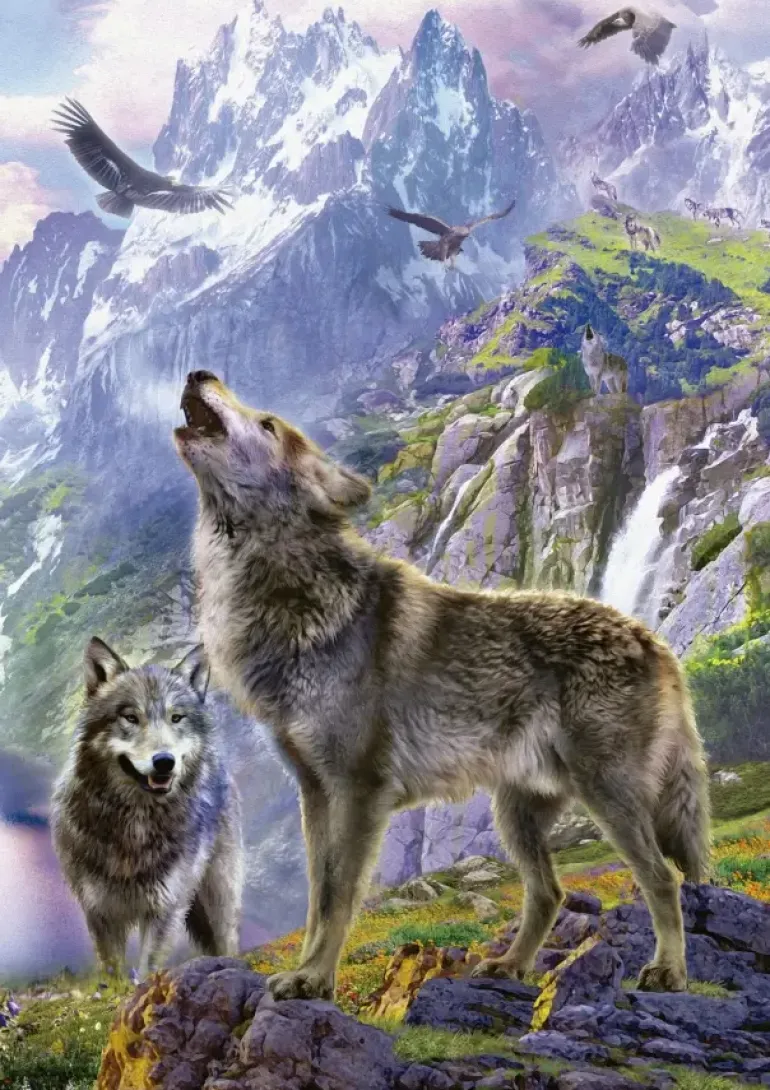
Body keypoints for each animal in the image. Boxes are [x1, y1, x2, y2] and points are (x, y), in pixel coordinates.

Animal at [51, 638, 243, 978]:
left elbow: (146, 970)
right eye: (130, 717)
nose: (165, 761)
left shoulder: (165, 909)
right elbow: (113, 972)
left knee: (228, 940)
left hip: (216, 896)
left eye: (176, 718)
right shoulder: (100, 912)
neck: (135, 826)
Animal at [173, 370, 710, 1003]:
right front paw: (306, 974)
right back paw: (510, 965)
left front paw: (314, 978)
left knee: (663, 877)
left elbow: (338, 896)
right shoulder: (316, 793)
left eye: (267, 425)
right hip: (517, 814)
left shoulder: (359, 791)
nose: (200, 374)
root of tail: (656, 642)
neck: (291, 597)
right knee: (549, 892)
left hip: (608, 797)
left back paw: (668, 971)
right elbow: (316, 899)